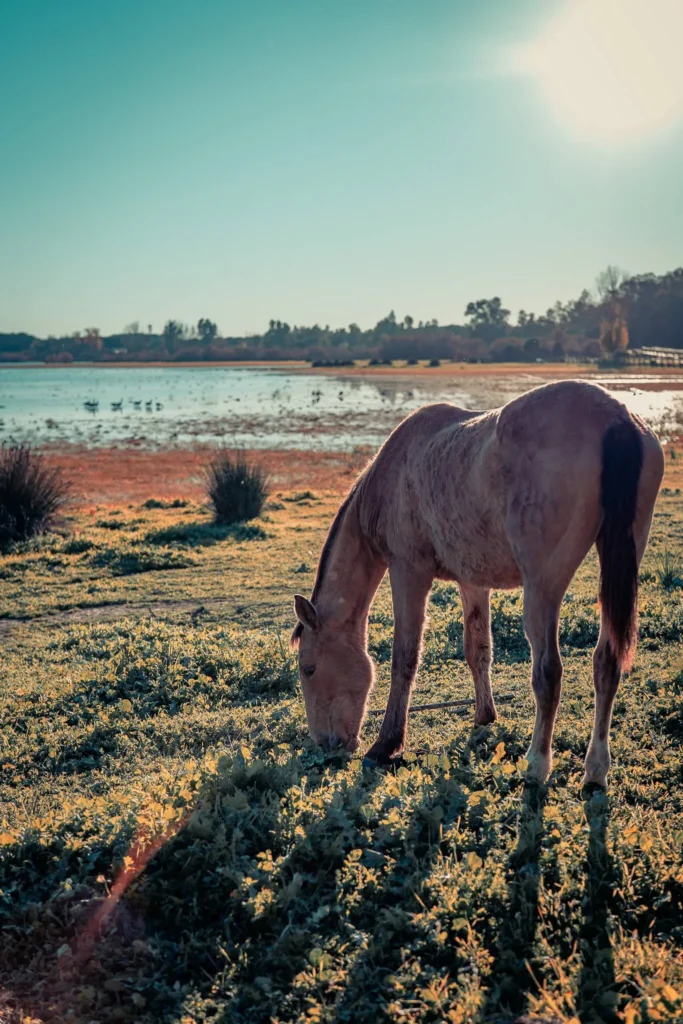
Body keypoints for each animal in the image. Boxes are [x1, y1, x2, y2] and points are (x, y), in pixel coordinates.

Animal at [291, 380, 664, 787]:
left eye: (309, 669)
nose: (326, 744)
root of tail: (615, 415)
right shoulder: (472, 582)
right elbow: (478, 650)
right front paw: (485, 715)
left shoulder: (408, 571)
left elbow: (404, 657)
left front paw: (386, 744)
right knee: (606, 662)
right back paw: (595, 770)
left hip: (542, 587)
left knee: (548, 671)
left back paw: (537, 764)